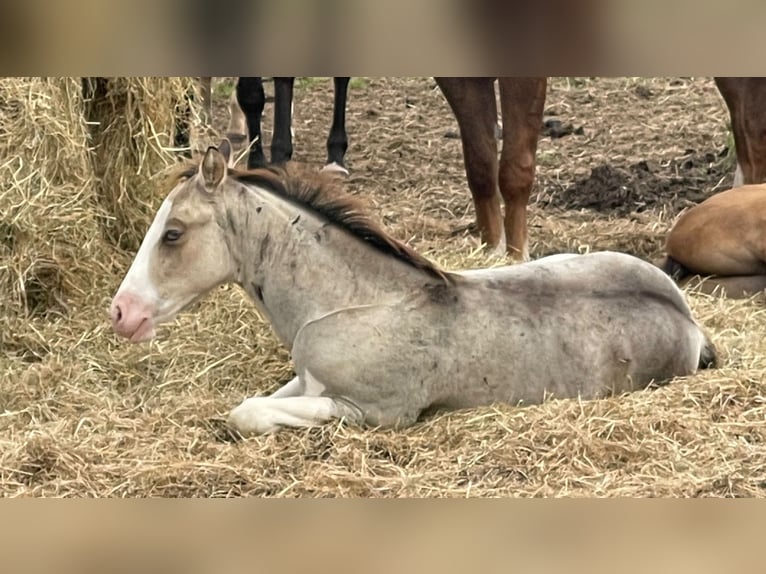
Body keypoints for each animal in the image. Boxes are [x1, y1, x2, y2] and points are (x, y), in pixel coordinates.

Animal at [109, 143, 720, 436]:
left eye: (173, 233)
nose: (121, 312)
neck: (353, 302)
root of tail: (689, 320)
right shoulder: (307, 379)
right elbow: (257, 401)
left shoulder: (373, 411)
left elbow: (248, 413)